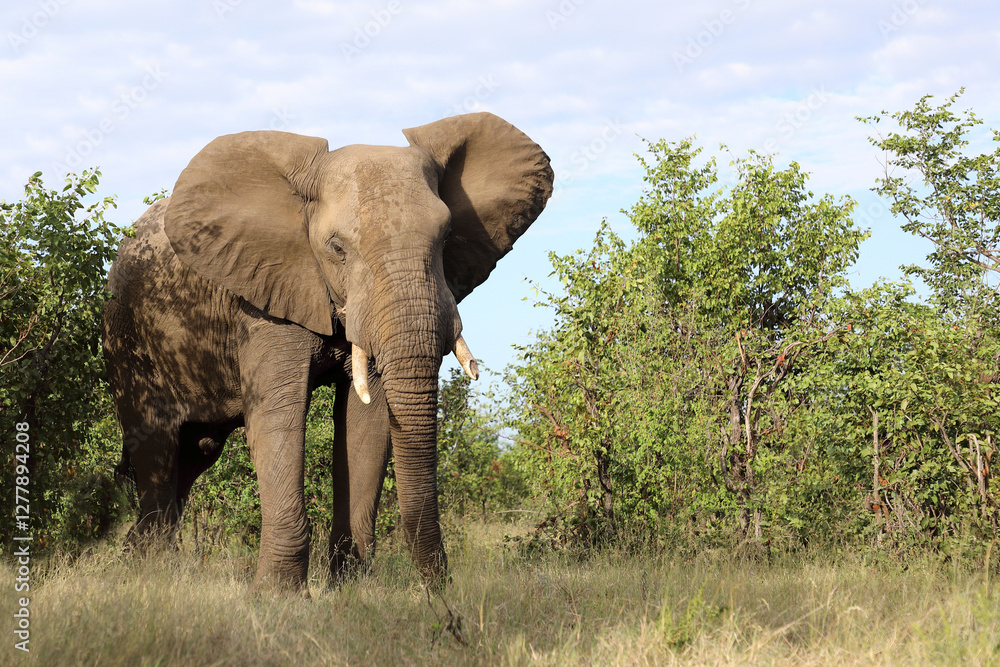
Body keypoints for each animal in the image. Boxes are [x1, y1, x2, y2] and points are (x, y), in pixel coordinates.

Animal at [102, 112, 553, 592]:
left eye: (448, 236)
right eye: (336, 248)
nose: (441, 589)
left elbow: (367, 423)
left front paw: (349, 589)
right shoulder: (265, 295)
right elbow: (278, 416)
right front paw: (278, 594)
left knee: (195, 453)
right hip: (128, 338)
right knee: (157, 449)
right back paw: (146, 571)